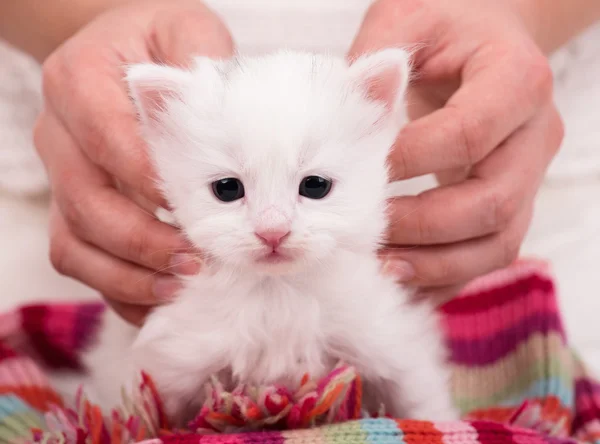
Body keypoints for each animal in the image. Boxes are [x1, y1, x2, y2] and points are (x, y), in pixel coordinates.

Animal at [85, 48, 454, 424]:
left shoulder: (386, 336)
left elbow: (418, 396)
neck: (278, 295)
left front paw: (441, 423)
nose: (272, 231)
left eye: (315, 185)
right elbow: (146, 416)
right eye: (227, 188)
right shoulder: (167, 362)